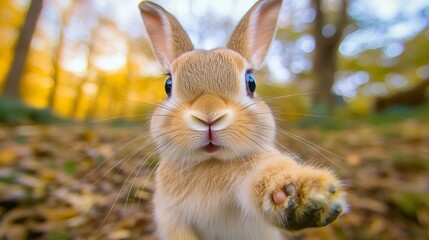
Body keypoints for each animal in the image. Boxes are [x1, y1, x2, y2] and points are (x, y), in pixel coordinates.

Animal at [139, 0, 346, 239]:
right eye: (168, 85)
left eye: (251, 82)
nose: (209, 115)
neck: (211, 161)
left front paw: (305, 194)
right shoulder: (171, 217)